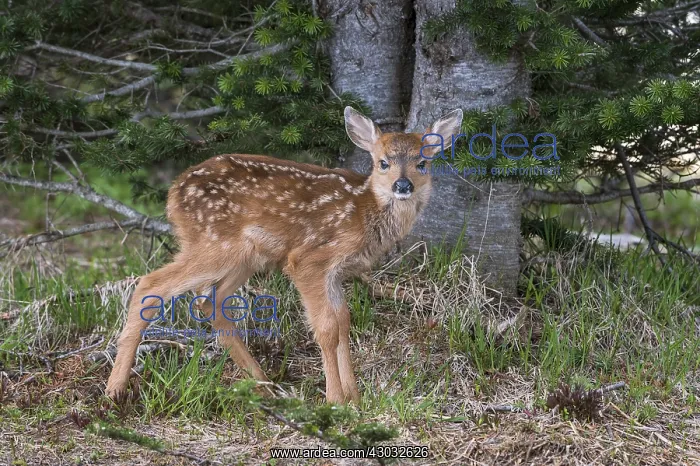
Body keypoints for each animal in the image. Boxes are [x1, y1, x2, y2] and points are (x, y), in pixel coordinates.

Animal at [105, 106, 463, 404]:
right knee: (151, 284)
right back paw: (114, 389)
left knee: (210, 301)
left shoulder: (336, 272)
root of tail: (173, 192)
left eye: (422, 163)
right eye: (383, 163)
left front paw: (355, 396)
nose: (403, 186)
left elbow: (344, 322)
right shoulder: (309, 260)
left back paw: (263, 383)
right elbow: (327, 328)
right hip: (214, 244)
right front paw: (335, 399)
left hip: (244, 256)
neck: (364, 212)